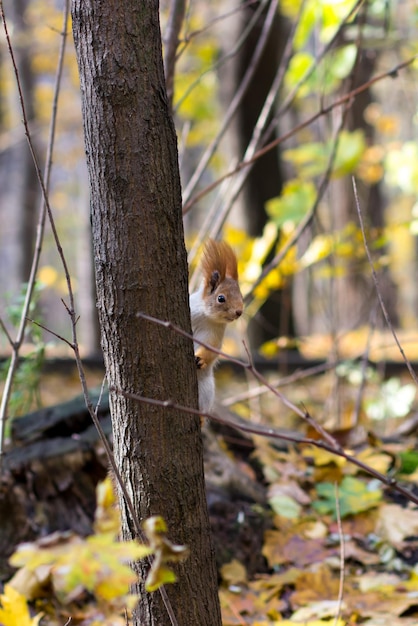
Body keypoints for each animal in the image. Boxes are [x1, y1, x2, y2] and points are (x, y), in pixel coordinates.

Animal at [189, 239, 243, 414]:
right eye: (221, 298)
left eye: (241, 296)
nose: (239, 312)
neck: (205, 315)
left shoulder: (215, 333)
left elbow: (211, 347)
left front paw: (201, 359)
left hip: (206, 391)